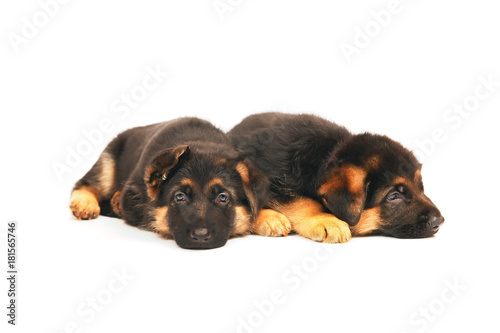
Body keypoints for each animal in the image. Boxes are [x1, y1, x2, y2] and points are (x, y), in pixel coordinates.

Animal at [229, 113, 444, 243]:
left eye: (420, 186)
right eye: (393, 197)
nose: (439, 222)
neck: (327, 156)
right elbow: (301, 202)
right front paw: (325, 220)